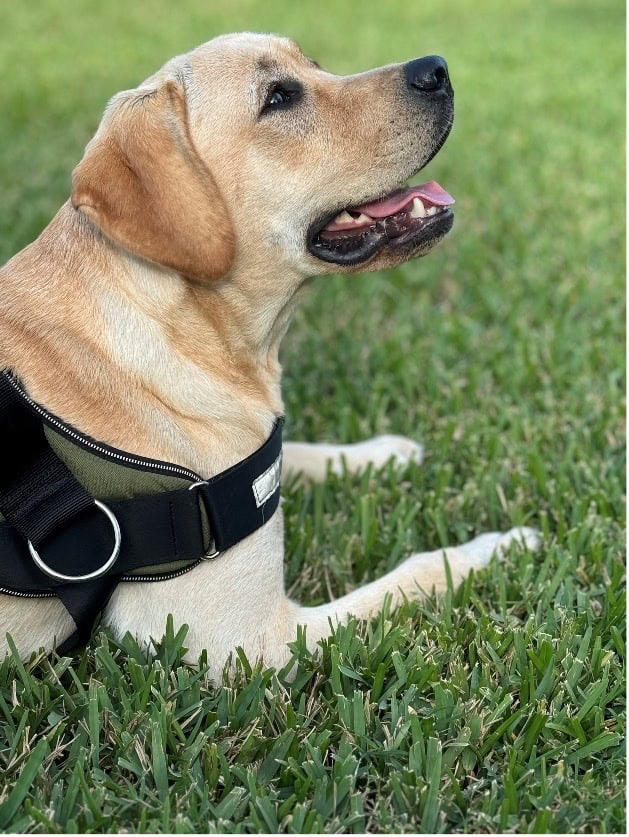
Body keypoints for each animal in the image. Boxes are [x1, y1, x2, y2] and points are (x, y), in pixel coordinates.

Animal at [1, 34, 540, 680]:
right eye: (279, 98)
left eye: (314, 65)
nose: (437, 69)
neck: (198, 331)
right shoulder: (247, 644)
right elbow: (412, 575)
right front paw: (497, 549)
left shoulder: (253, 463)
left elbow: (299, 452)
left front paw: (382, 453)